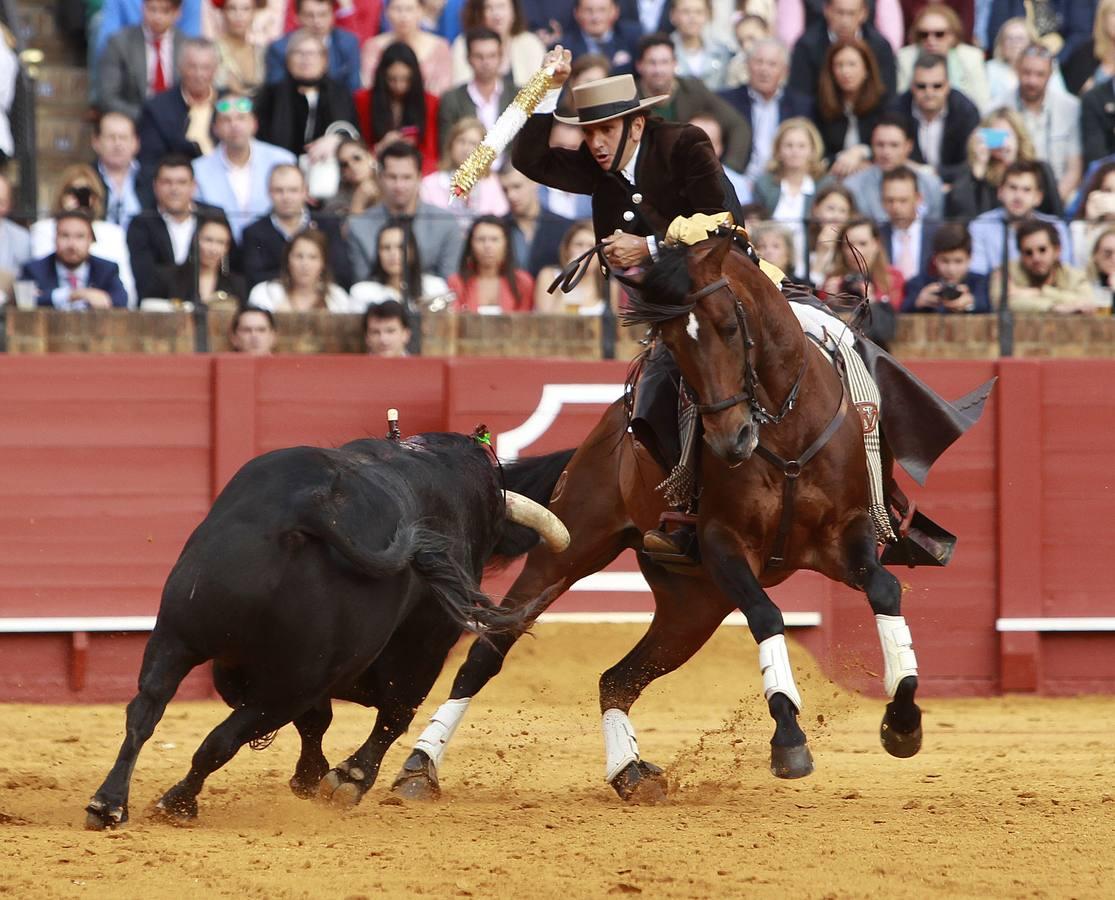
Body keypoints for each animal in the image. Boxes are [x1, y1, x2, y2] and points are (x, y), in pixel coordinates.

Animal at [85, 432, 570, 825]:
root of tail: (311, 506)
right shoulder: (424, 646)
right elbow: (388, 716)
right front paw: (340, 779)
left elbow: (317, 720)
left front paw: (310, 775)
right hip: (300, 676)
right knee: (225, 738)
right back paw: (179, 802)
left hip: (177, 636)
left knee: (146, 709)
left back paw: (109, 803)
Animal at [392, 234, 923, 802]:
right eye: (674, 345)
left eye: (730, 327)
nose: (731, 440)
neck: (785, 430)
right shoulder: (723, 542)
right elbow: (767, 615)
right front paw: (788, 740)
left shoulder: (845, 535)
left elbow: (886, 589)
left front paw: (903, 723)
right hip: (572, 550)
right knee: (488, 653)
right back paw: (418, 766)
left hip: (692, 607)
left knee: (617, 679)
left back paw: (628, 770)